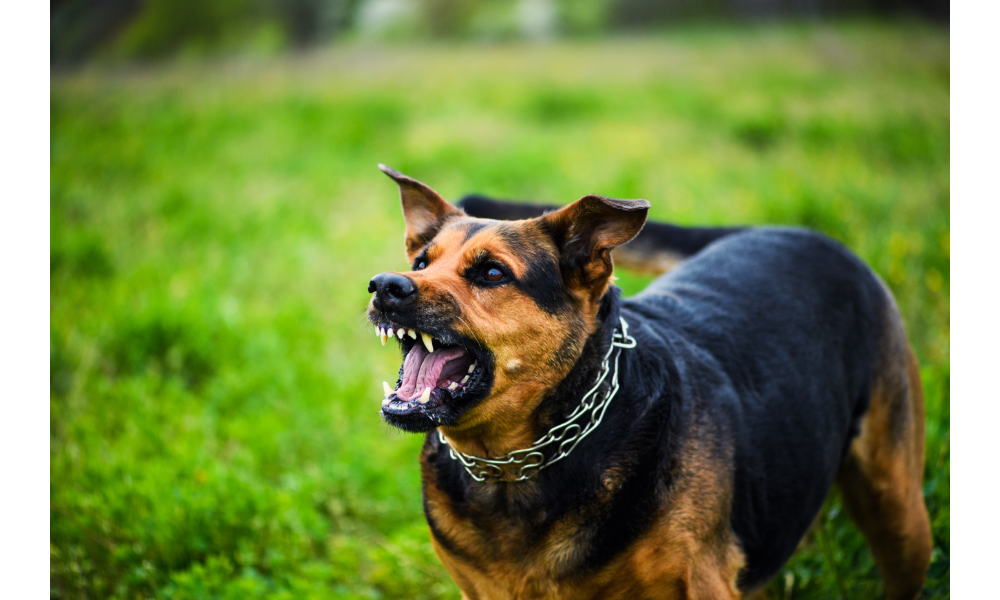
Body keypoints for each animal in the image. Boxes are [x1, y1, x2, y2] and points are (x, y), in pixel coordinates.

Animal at [366, 165, 928, 600]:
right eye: (421, 262)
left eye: (491, 273)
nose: (384, 286)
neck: (512, 467)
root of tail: (791, 230)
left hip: (898, 508)